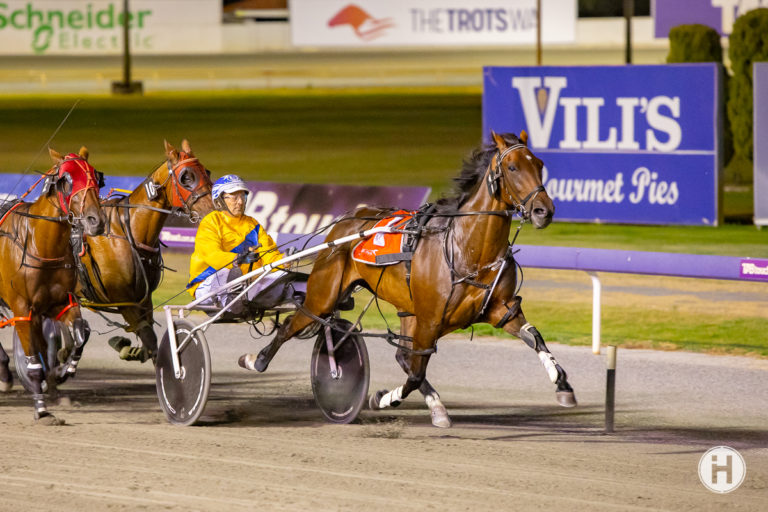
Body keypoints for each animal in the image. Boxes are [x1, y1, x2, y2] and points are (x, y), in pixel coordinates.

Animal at [0, 147, 106, 424]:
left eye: (95, 176)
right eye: (66, 180)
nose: (95, 220)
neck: (40, 244)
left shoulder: (59, 303)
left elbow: (81, 333)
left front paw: (62, 371)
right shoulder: (22, 310)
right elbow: (33, 363)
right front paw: (41, 409)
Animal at [75, 140, 214, 362]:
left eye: (206, 171)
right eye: (186, 177)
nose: (212, 208)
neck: (127, 231)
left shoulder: (144, 299)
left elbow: (148, 337)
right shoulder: (126, 301)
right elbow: (151, 341)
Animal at [239, 131, 577, 427]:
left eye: (539, 164)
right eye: (512, 167)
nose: (543, 211)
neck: (468, 248)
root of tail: (348, 219)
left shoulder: (499, 308)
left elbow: (534, 336)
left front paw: (562, 385)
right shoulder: (430, 318)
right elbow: (415, 373)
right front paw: (383, 398)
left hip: (405, 307)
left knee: (403, 354)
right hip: (324, 294)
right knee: (292, 323)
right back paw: (256, 360)